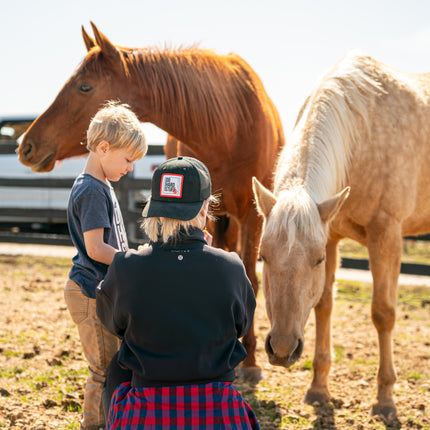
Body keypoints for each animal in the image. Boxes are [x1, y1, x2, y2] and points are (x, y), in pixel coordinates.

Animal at [18, 22, 284, 380]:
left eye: (85, 86)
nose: (26, 146)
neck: (228, 127)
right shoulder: (211, 215)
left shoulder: (253, 216)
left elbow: (251, 278)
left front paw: (252, 362)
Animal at [252, 49, 430, 416]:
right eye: (263, 256)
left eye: (317, 260)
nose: (282, 349)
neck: (364, 132)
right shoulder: (332, 235)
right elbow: (323, 305)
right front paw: (318, 389)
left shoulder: (387, 235)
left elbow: (383, 313)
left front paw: (385, 399)